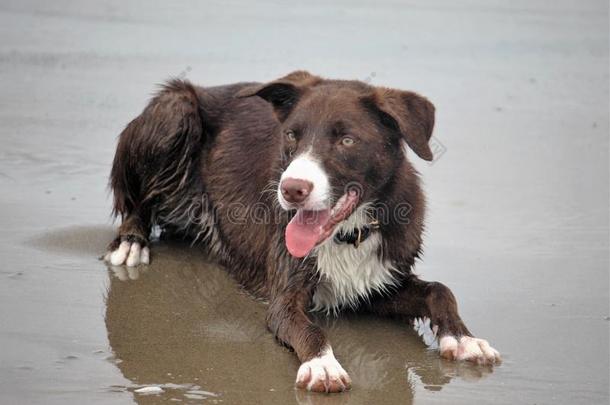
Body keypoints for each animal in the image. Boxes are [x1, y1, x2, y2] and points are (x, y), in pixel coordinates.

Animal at [103, 72, 498, 392]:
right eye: (291, 135)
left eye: (347, 141)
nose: (291, 189)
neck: (346, 235)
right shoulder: (284, 299)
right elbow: (309, 328)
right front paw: (322, 365)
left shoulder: (377, 284)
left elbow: (439, 291)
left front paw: (464, 339)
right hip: (173, 108)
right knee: (136, 200)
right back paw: (131, 242)